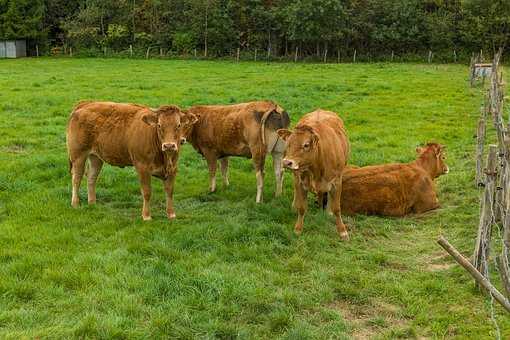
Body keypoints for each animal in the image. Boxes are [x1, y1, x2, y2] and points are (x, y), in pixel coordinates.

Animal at [66, 101, 197, 220]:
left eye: (178, 125)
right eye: (159, 125)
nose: (169, 146)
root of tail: (86, 103)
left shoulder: (173, 168)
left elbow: (169, 191)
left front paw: (171, 214)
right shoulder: (142, 167)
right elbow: (147, 192)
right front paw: (146, 216)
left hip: (96, 157)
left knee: (91, 177)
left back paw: (92, 203)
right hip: (78, 155)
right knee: (76, 178)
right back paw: (75, 203)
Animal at [278, 109, 350, 239]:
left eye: (306, 145)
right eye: (288, 144)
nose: (286, 162)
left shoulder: (337, 182)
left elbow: (337, 208)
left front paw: (342, 231)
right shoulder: (301, 181)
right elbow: (302, 208)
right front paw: (298, 229)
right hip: (296, 175)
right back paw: (295, 205)